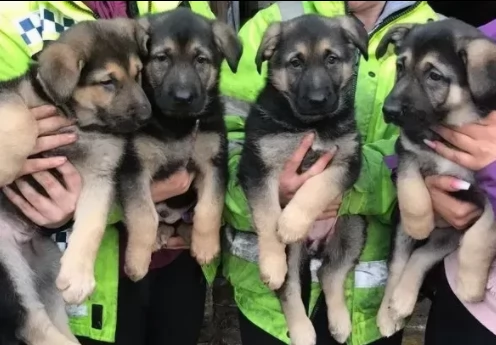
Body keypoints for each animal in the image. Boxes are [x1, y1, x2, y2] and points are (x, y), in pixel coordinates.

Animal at [0, 18, 150, 344]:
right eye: (108, 82)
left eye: (138, 74)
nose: (147, 117)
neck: (79, 122)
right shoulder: (11, 95)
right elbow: (21, 118)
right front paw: (6, 166)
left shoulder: (101, 174)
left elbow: (92, 225)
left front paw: (79, 277)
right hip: (5, 267)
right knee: (30, 321)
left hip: (44, 268)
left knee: (42, 320)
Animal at [114, 5, 244, 272]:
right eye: (162, 58)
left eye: (200, 60)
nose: (183, 98)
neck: (177, 125)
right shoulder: (134, 169)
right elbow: (143, 216)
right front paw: (136, 262)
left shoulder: (214, 164)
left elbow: (209, 209)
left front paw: (206, 248)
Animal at [238, 14, 370, 344]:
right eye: (295, 63)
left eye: (332, 59)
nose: (318, 99)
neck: (311, 125)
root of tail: (312, 247)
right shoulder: (257, 167)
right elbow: (268, 215)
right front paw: (272, 259)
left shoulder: (347, 162)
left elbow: (315, 187)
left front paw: (292, 222)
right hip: (296, 252)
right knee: (290, 288)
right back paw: (302, 330)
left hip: (353, 225)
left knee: (329, 273)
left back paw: (339, 322)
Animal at [374, 17, 496, 334]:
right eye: (400, 66)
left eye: (434, 76)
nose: (389, 110)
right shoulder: (407, 148)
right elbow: (411, 186)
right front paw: (419, 222)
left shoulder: (487, 197)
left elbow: (482, 233)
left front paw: (470, 284)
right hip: (402, 235)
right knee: (398, 266)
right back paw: (389, 311)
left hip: (450, 236)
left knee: (421, 256)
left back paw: (403, 300)